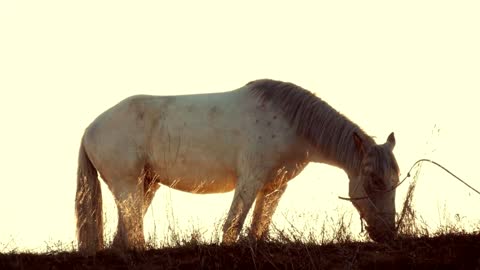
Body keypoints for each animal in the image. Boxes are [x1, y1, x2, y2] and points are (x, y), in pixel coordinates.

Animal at [74, 78, 398, 253]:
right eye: (373, 181)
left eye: (395, 181)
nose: (388, 235)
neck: (290, 122)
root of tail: (91, 128)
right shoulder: (250, 181)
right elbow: (233, 226)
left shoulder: (274, 187)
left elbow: (258, 228)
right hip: (128, 186)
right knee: (133, 230)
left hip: (146, 185)